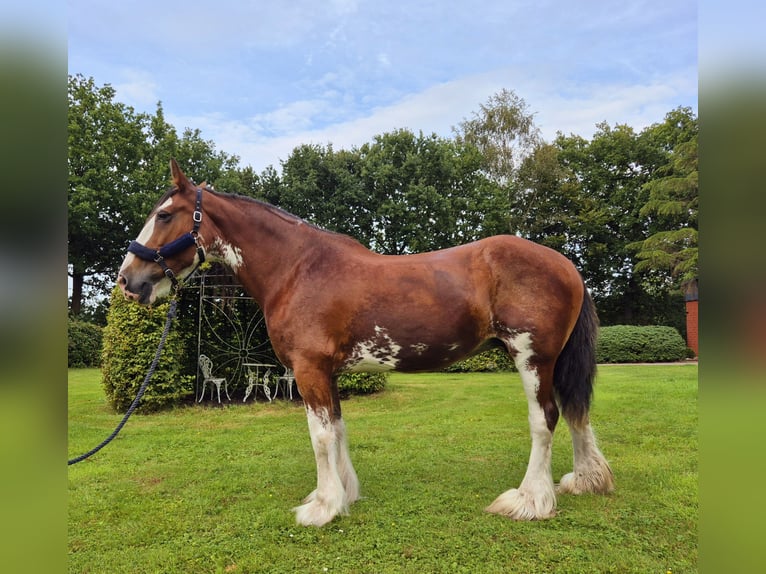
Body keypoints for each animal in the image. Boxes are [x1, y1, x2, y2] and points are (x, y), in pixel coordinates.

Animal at [117, 160, 616, 528]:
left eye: (164, 215)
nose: (127, 281)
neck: (298, 269)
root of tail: (566, 264)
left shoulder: (309, 369)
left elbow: (319, 436)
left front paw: (322, 507)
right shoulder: (327, 373)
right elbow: (338, 430)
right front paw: (343, 495)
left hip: (532, 358)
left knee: (545, 419)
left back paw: (529, 500)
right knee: (575, 412)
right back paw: (584, 481)